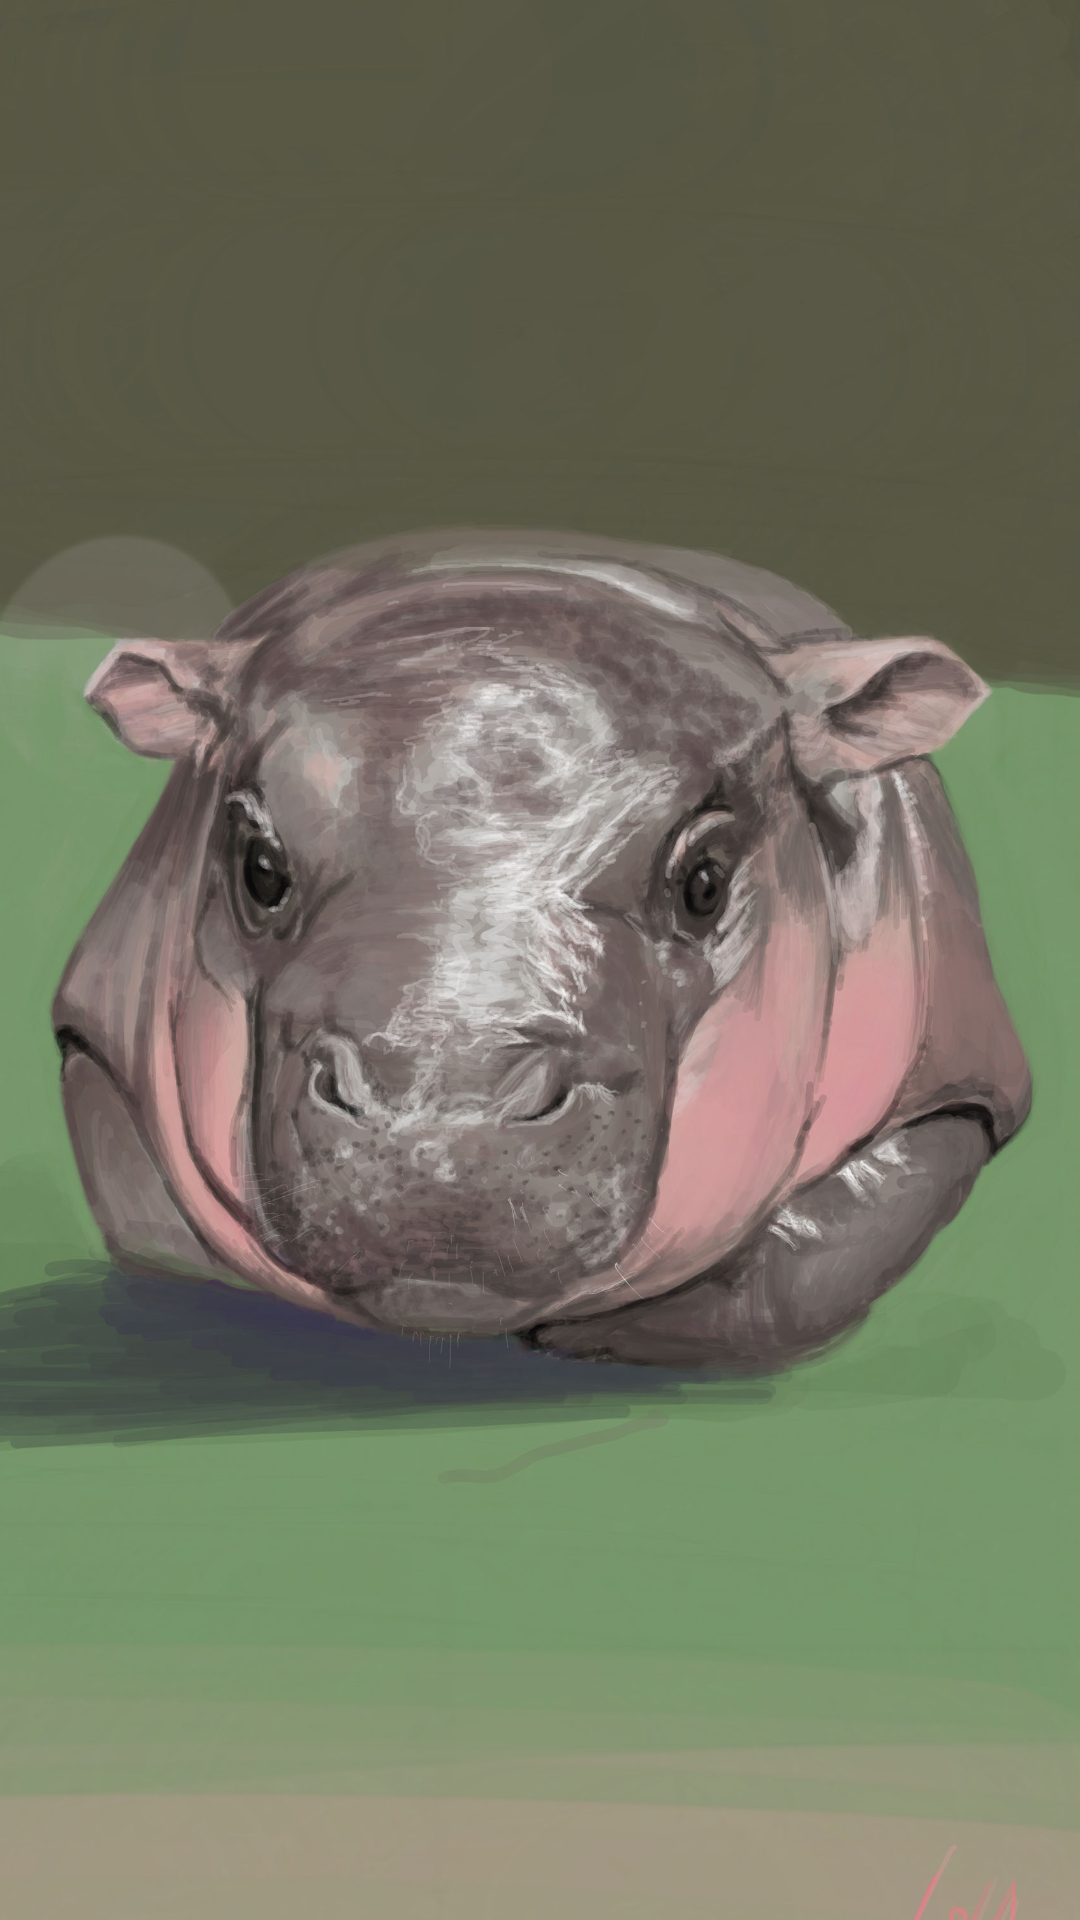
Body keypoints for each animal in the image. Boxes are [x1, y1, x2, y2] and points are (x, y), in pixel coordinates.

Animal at [53, 529, 1031, 1369]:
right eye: (260, 865)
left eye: (704, 880)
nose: (439, 1126)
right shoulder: (92, 1037)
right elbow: (153, 1218)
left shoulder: (960, 1071)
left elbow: (815, 1259)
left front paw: (592, 1335)